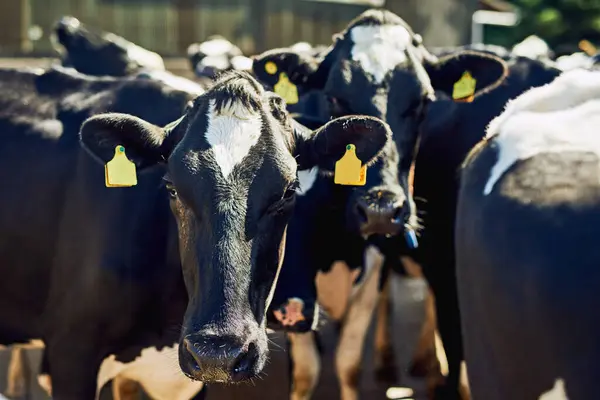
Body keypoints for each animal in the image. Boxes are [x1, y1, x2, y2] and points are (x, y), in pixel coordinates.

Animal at [252, 7, 510, 400]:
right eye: (334, 98)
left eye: (424, 102)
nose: (380, 211)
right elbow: (307, 370)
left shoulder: (373, 268)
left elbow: (349, 362)